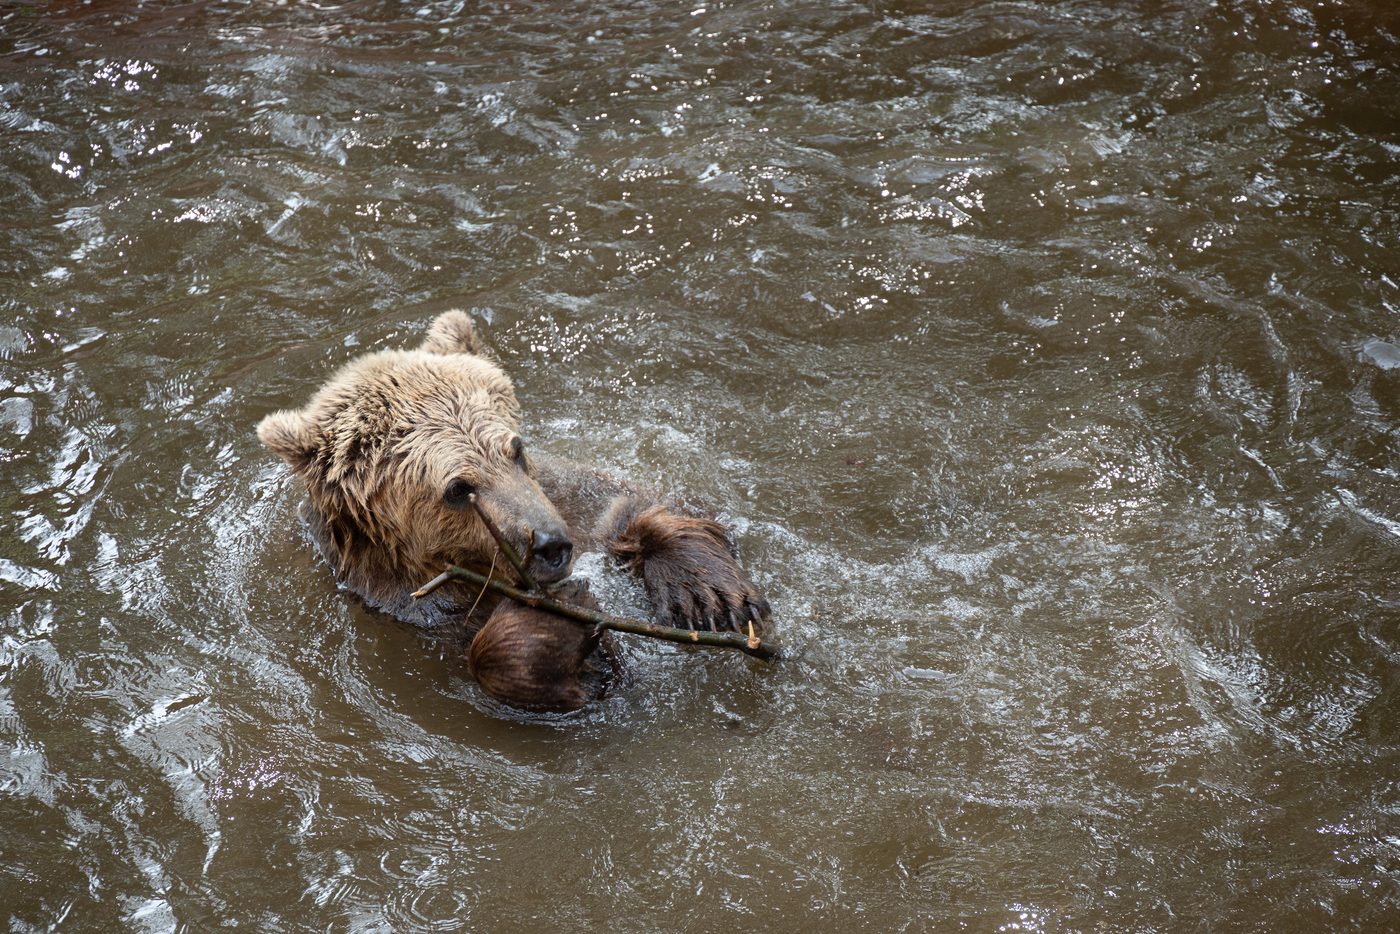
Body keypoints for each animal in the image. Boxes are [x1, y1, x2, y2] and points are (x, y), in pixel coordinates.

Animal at [256, 311, 770, 709]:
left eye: (515, 449)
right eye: (458, 488)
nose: (551, 545)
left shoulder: (570, 497)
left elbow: (639, 506)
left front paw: (706, 592)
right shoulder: (414, 615)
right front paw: (552, 625)